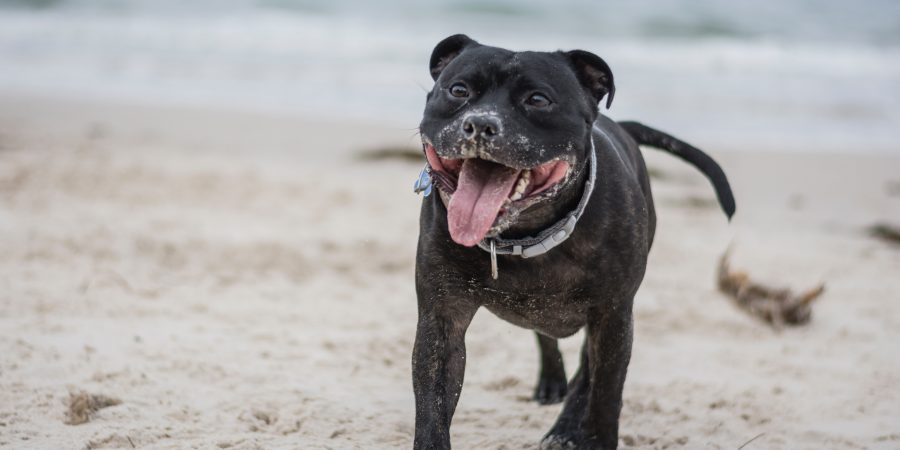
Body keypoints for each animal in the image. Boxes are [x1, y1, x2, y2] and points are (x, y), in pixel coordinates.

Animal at [412, 35, 736, 450]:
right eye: (458, 90)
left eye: (537, 99)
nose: (481, 123)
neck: (524, 237)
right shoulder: (441, 321)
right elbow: (433, 406)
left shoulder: (613, 316)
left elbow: (605, 394)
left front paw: (591, 435)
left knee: (587, 372)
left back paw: (565, 429)